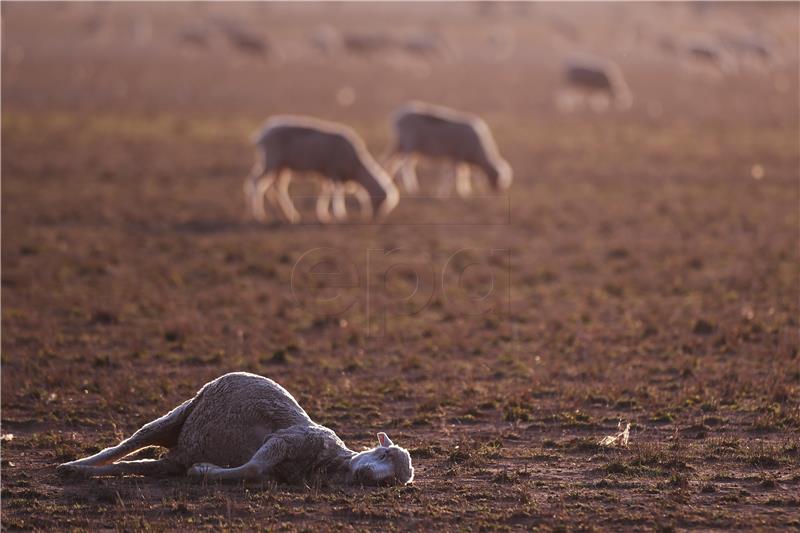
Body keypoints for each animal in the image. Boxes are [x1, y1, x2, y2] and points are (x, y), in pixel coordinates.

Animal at [57, 370, 412, 486]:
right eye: (384, 453)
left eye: (393, 482)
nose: (367, 475)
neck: (330, 461)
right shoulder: (287, 438)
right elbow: (254, 467)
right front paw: (205, 471)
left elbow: (257, 472)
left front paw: (204, 470)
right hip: (179, 414)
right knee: (125, 445)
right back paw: (72, 465)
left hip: (171, 459)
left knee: (134, 465)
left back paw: (80, 472)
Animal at [242, 115, 396, 223]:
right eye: (382, 202)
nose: (376, 219)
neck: (356, 168)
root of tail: (262, 133)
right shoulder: (334, 171)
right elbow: (336, 192)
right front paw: (340, 214)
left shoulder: (327, 173)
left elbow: (326, 191)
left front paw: (323, 215)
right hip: (272, 161)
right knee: (257, 182)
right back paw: (258, 214)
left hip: (281, 166)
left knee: (276, 187)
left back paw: (286, 214)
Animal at [382, 101, 510, 196]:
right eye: (499, 182)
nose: (496, 194)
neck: (478, 153)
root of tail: (398, 116)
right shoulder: (458, 156)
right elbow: (455, 175)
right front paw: (455, 193)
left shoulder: (455, 158)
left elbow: (458, 174)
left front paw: (462, 191)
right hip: (410, 143)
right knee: (405, 165)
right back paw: (412, 188)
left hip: (400, 145)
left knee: (390, 160)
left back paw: (387, 177)